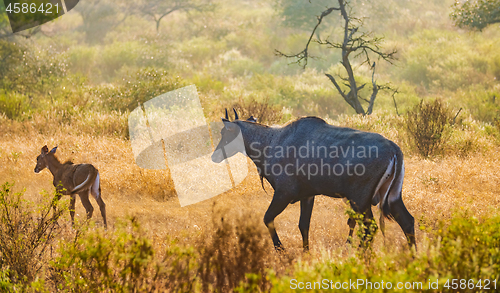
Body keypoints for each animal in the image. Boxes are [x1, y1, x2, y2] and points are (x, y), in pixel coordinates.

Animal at [211, 108, 414, 250]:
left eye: (225, 133)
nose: (214, 156)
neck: (272, 142)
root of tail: (394, 149)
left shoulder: (284, 193)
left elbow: (267, 218)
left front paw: (281, 250)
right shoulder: (307, 196)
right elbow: (303, 225)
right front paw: (305, 252)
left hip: (360, 200)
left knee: (370, 227)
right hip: (392, 197)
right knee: (407, 221)